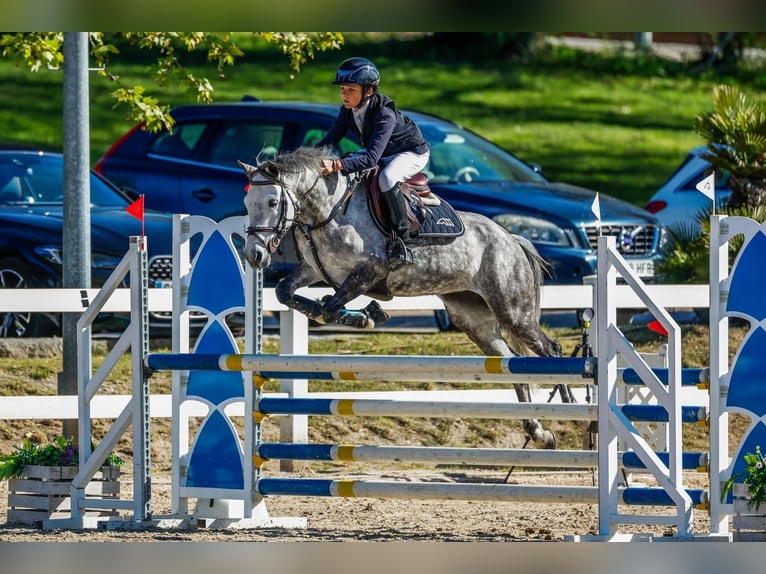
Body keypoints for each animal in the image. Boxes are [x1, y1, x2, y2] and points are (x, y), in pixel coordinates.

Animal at [239, 146, 564, 449]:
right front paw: (364, 314)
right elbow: (288, 294)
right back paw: (538, 431)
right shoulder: (313, 270)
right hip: (474, 319)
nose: (255, 256)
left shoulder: (369, 270)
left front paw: (368, 315)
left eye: (272, 202)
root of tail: (512, 239)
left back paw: (567, 410)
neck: (328, 212)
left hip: (513, 310)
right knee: (512, 359)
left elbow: (330, 308)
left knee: (551, 350)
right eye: (246, 204)